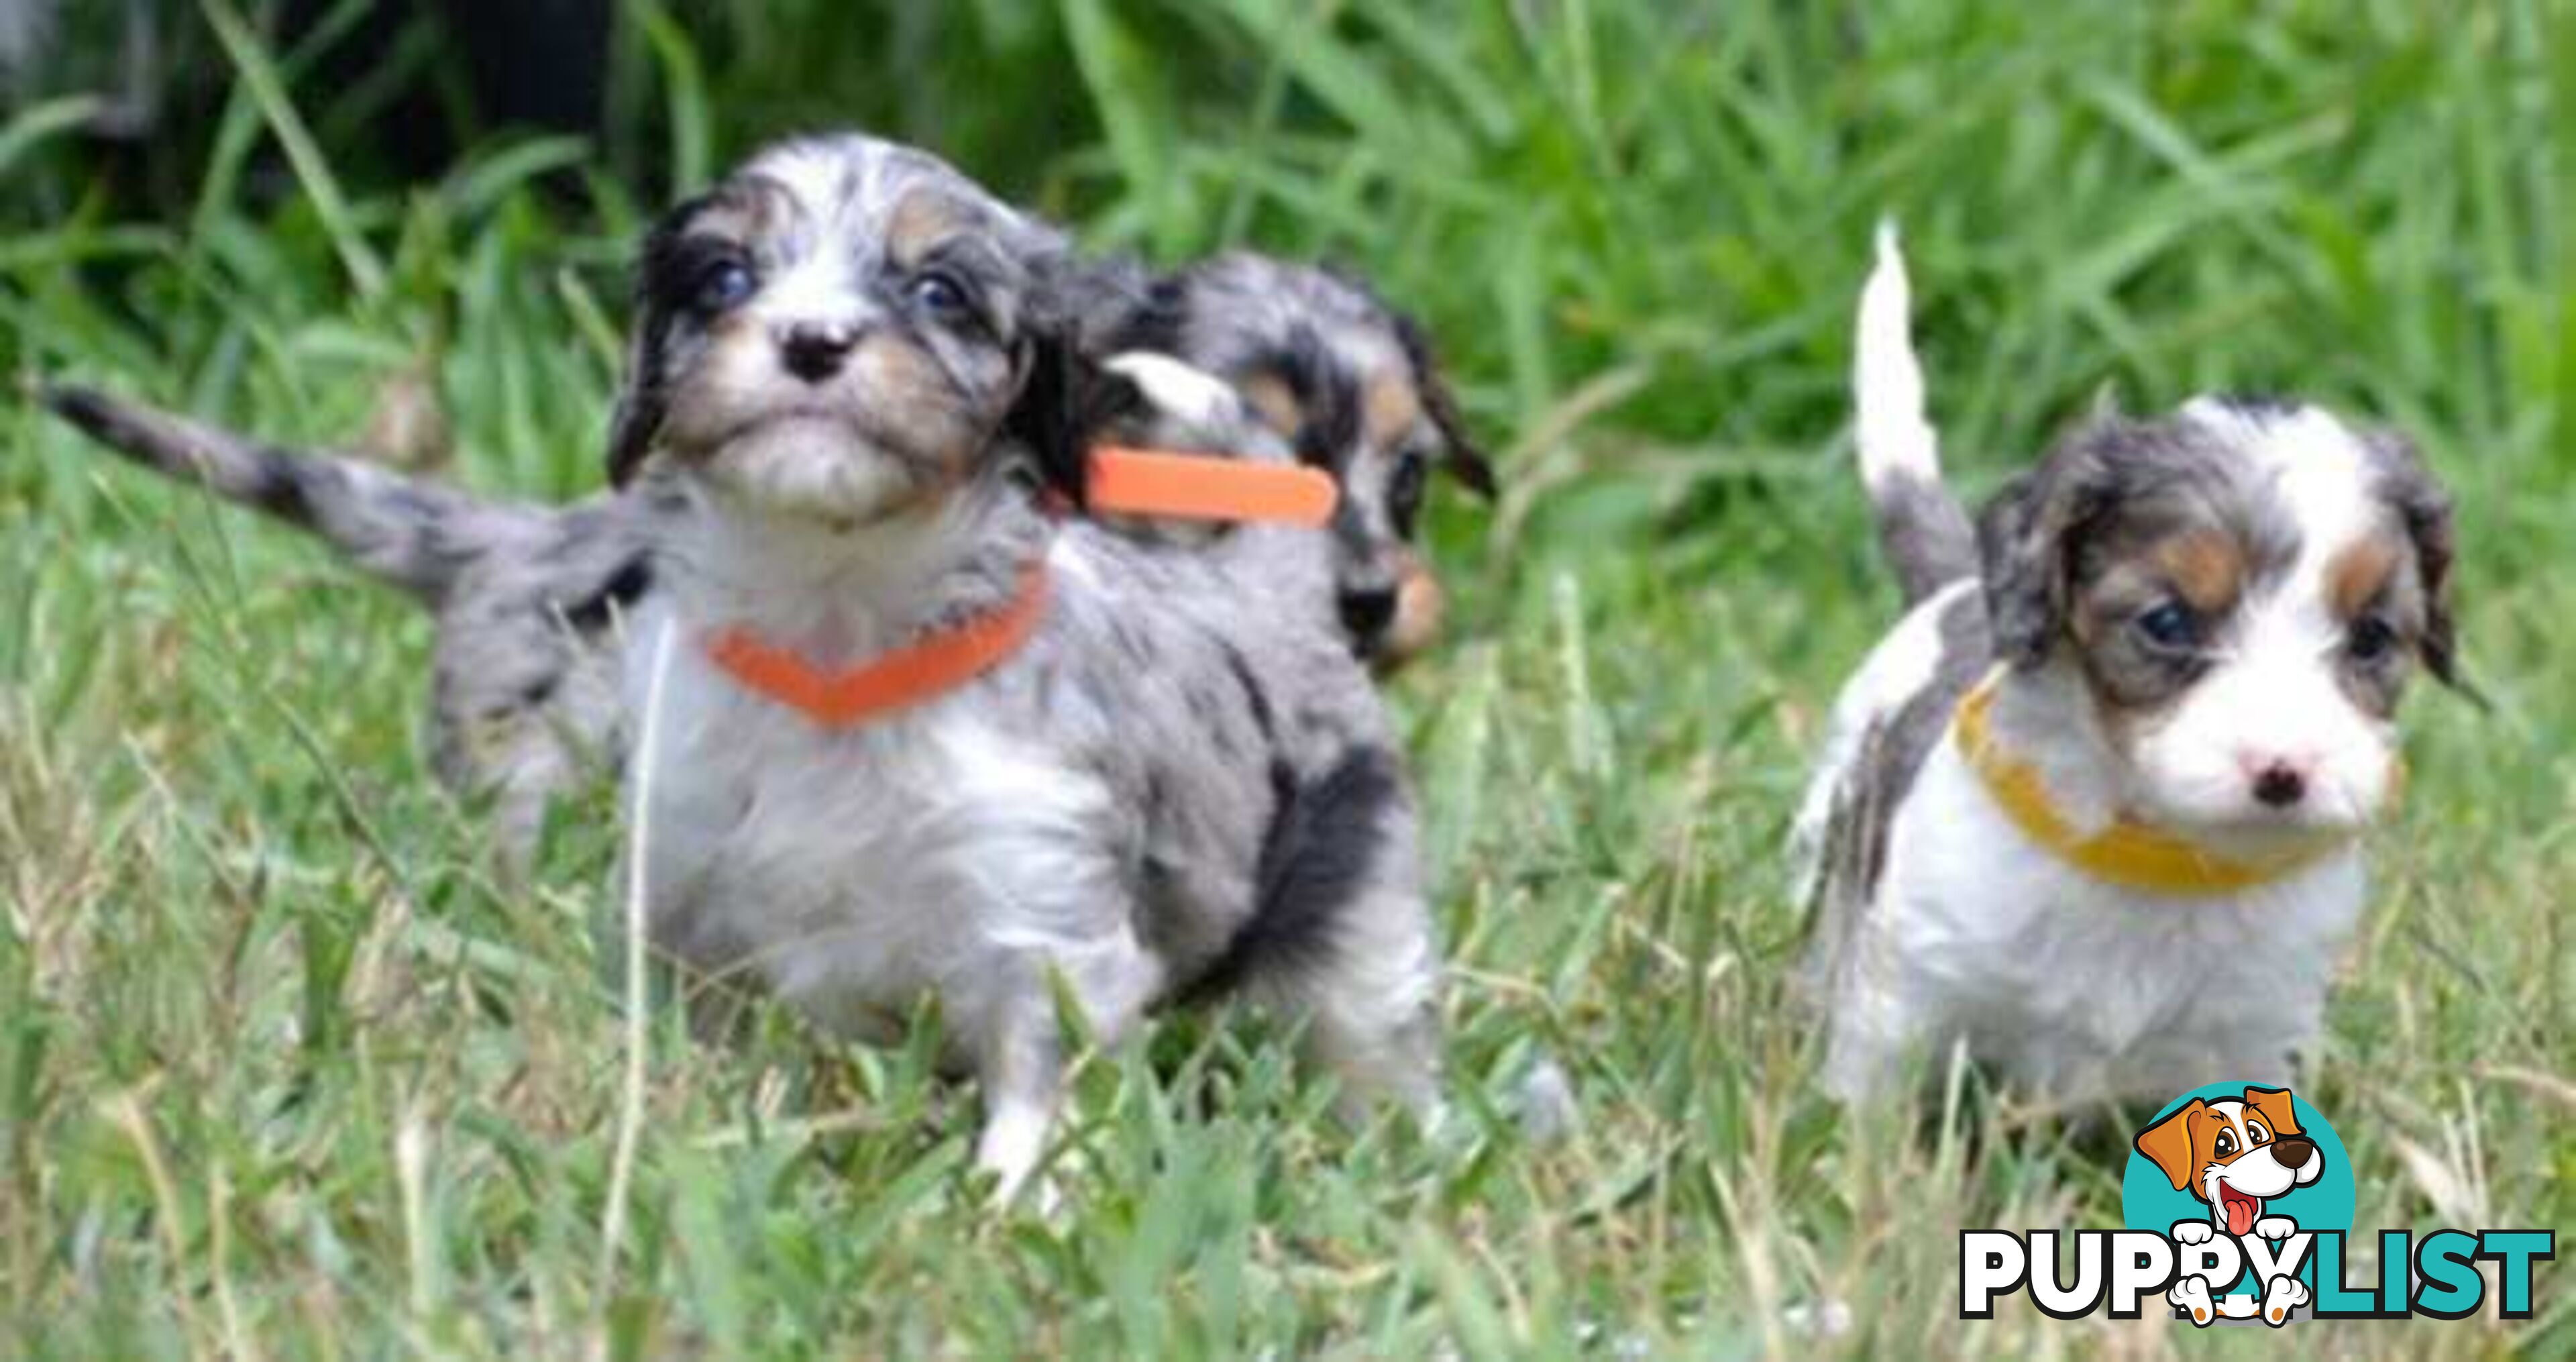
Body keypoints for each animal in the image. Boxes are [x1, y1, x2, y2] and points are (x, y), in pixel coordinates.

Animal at [610, 132, 1442, 1194]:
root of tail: (1269, 579)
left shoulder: (1040, 907)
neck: (838, 624)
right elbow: (697, 1053)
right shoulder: (688, 894)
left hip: (1357, 912)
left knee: (1375, 1040)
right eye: (725, 277)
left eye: (939, 292)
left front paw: (1012, 1205)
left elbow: (1038, 1092)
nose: (812, 339)